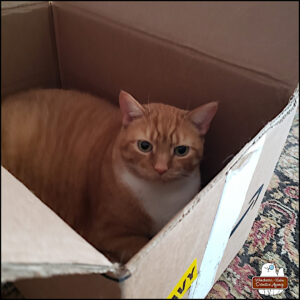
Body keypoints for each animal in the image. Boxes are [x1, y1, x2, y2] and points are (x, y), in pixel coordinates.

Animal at [0, 89, 218, 262]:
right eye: (144, 146)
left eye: (181, 150)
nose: (161, 168)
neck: (161, 195)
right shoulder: (107, 234)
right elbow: (139, 243)